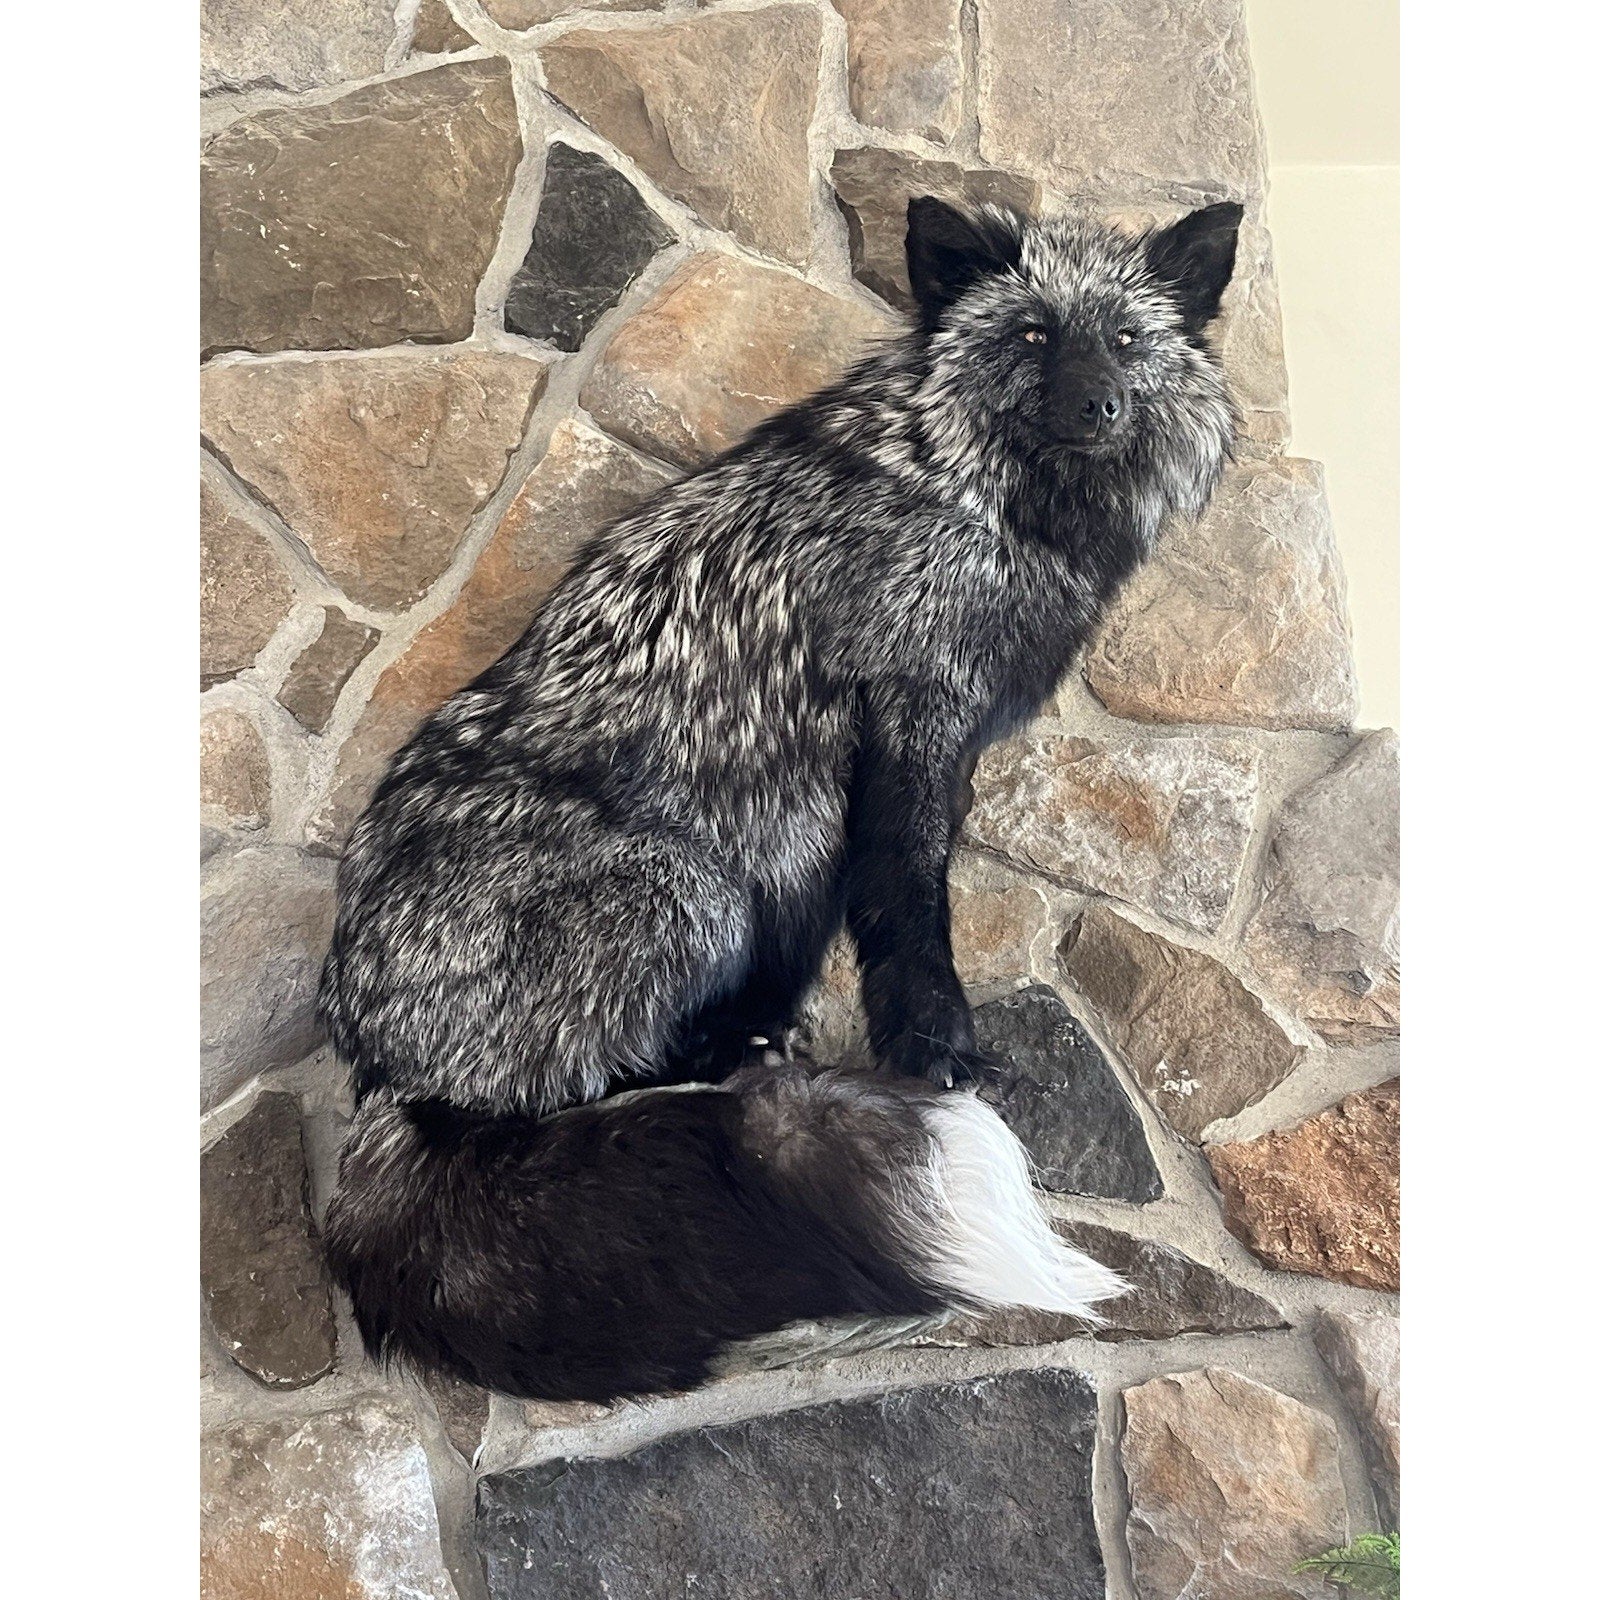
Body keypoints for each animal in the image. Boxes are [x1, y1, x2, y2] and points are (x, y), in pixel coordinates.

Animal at [318, 196, 1241, 1403]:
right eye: (1036, 333)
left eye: (1128, 340)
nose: (1102, 404)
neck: (982, 497)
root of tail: (373, 1069)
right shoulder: (909, 712)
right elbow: (911, 899)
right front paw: (936, 1048)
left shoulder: (945, 741)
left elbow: (903, 888)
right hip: (693, 891)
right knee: (575, 1089)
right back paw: (729, 1061)